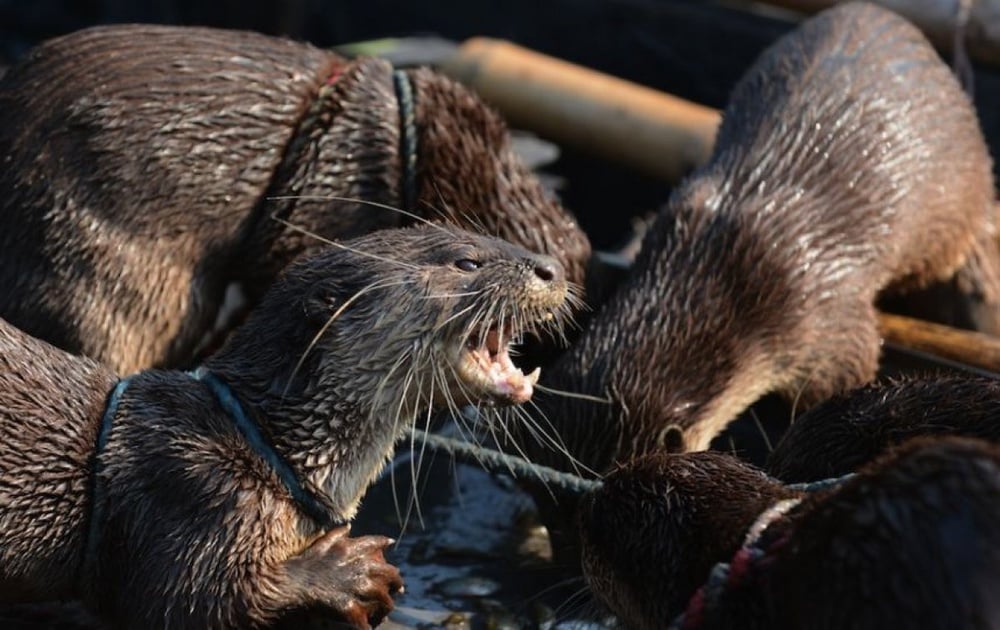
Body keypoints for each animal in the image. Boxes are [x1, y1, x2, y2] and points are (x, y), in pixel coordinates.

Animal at [0, 225, 572, 628]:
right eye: (467, 261)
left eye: (487, 235)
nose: (552, 267)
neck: (260, 446)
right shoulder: (194, 491)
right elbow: (189, 599)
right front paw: (348, 572)